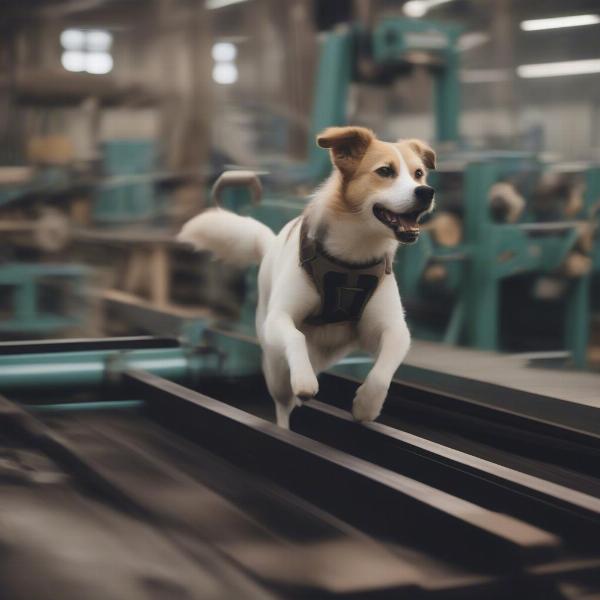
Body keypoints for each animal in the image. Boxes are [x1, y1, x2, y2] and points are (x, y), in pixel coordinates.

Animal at [178, 125, 436, 426]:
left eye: (418, 173)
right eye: (385, 171)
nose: (426, 192)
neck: (353, 256)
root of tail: (271, 245)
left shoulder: (391, 329)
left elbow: (384, 369)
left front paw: (367, 405)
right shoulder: (279, 319)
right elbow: (295, 337)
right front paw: (304, 380)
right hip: (275, 366)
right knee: (282, 404)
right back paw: (285, 422)